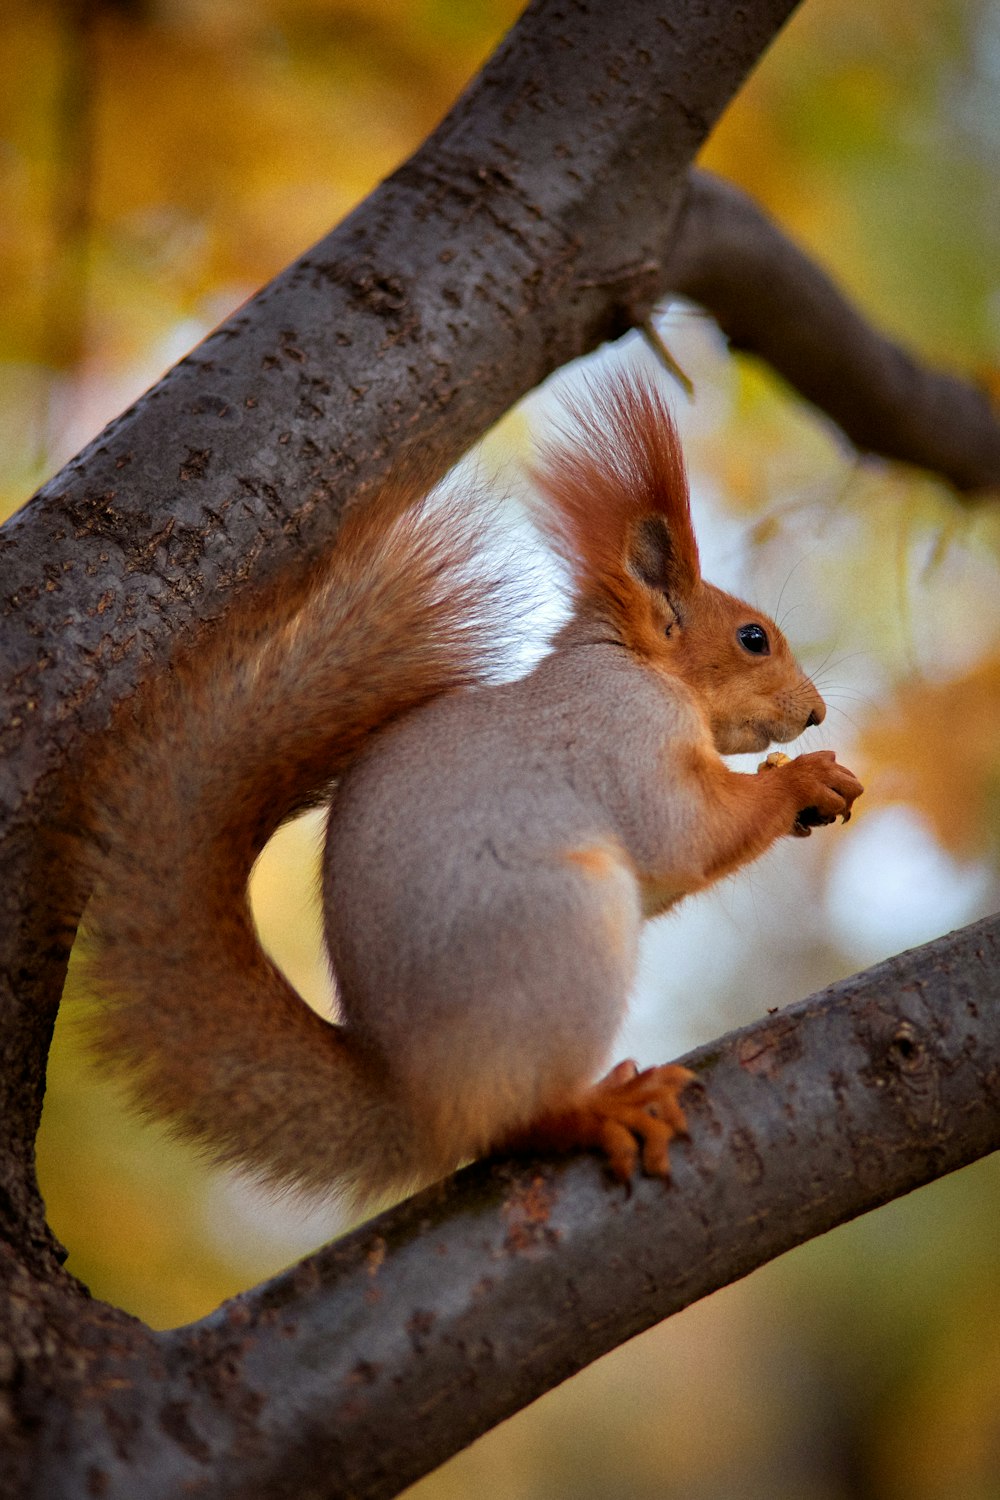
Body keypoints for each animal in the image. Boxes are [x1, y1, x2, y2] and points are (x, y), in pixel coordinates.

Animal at [82, 372, 863, 1206]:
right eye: (754, 639)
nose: (815, 713)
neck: (634, 665)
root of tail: (412, 1100)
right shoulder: (621, 732)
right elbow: (681, 832)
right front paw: (805, 777)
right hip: (561, 934)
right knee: (507, 1125)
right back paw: (600, 1109)